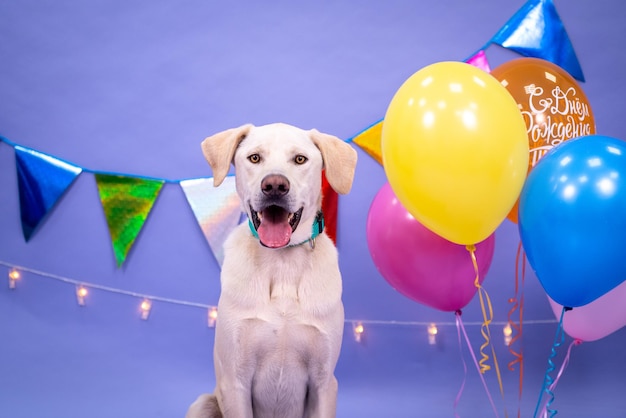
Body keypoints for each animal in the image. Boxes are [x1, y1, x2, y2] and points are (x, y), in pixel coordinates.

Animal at [185, 123, 356, 418]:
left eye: (300, 159)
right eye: (255, 158)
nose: (275, 185)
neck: (282, 261)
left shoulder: (324, 383)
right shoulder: (235, 381)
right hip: (203, 403)